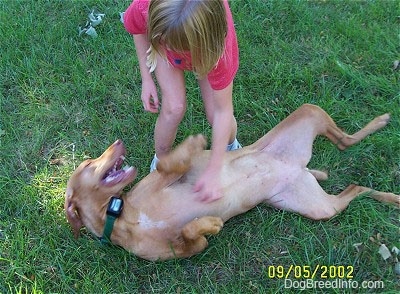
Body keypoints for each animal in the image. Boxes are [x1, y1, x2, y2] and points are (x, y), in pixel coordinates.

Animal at [64, 104, 398, 260]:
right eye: (88, 164)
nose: (118, 142)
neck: (122, 217)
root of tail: (297, 167)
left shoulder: (175, 175)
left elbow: (172, 163)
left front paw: (194, 143)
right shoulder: (189, 249)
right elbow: (193, 233)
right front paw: (210, 223)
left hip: (309, 112)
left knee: (345, 141)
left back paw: (382, 121)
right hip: (319, 207)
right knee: (353, 183)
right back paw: (392, 198)